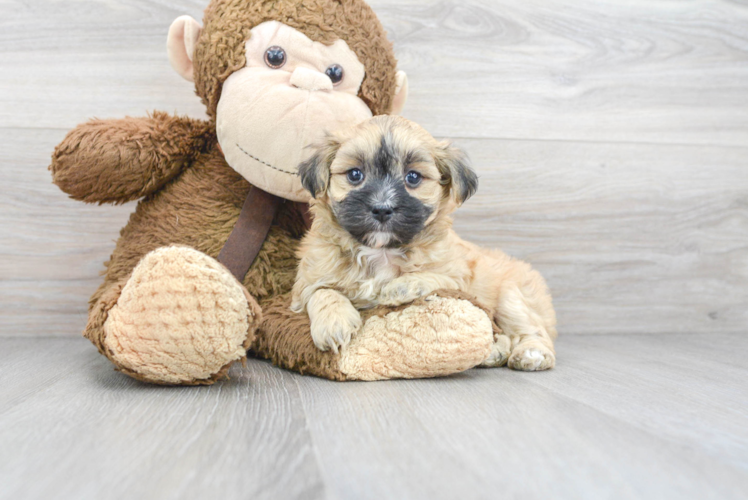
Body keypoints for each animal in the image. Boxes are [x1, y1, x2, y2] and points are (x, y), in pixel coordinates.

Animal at [290, 115, 556, 370]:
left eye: (413, 177)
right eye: (355, 175)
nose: (382, 209)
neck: (382, 251)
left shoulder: (458, 277)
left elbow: (435, 277)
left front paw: (402, 286)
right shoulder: (307, 280)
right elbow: (322, 292)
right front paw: (334, 324)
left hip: (511, 295)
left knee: (531, 329)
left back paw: (532, 353)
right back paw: (495, 353)